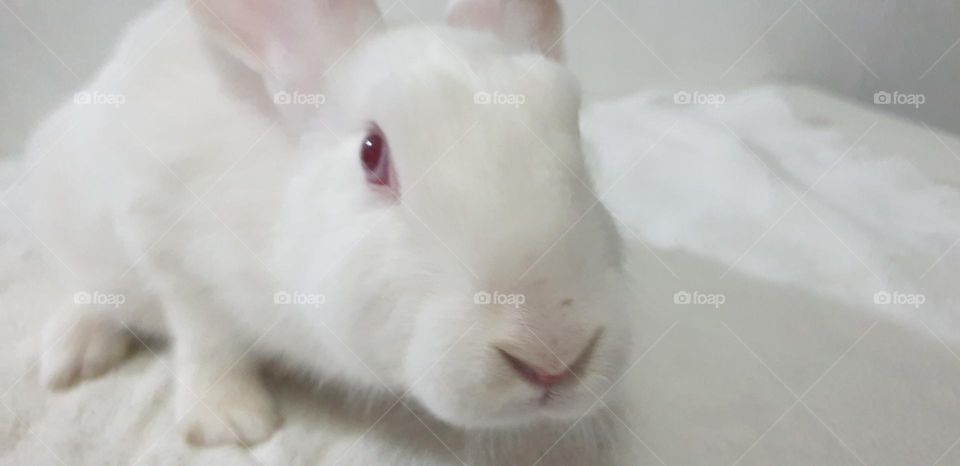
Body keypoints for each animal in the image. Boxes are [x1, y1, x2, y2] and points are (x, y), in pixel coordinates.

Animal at [22, 0, 632, 460]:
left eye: (575, 130)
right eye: (372, 153)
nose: (554, 359)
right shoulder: (167, 245)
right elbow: (208, 341)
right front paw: (230, 421)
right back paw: (72, 356)